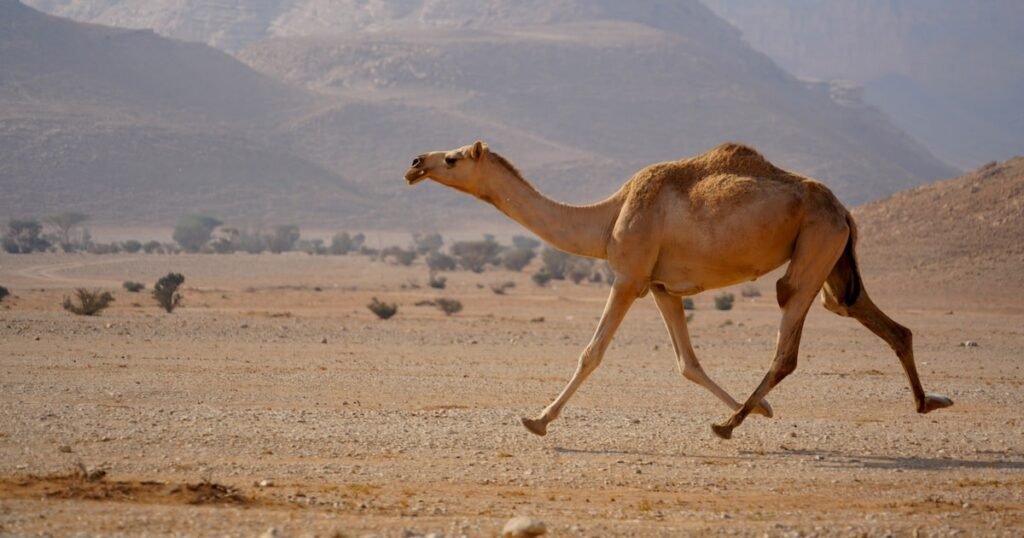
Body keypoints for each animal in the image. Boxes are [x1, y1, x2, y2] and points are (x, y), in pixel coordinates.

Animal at [404, 141, 953, 439]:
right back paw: (929, 402)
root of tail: (844, 209)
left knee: (788, 341)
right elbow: (688, 363)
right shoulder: (662, 287)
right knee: (872, 316)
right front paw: (764, 410)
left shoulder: (628, 277)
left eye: (453, 159)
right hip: (835, 260)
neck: (607, 219)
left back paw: (729, 425)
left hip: (813, 248)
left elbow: (591, 352)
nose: (415, 163)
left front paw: (538, 420)